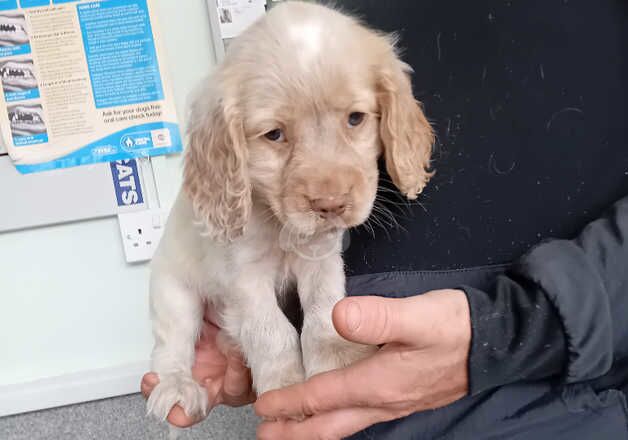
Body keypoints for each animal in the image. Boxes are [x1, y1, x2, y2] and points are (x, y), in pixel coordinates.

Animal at [148, 0, 434, 420]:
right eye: (274, 134)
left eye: (355, 118)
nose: (330, 205)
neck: (278, 224)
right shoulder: (243, 275)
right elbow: (271, 331)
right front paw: (284, 387)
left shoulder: (322, 258)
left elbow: (324, 312)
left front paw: (337, 362)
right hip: (172, 291)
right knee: (172, 343)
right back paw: (176, 385)